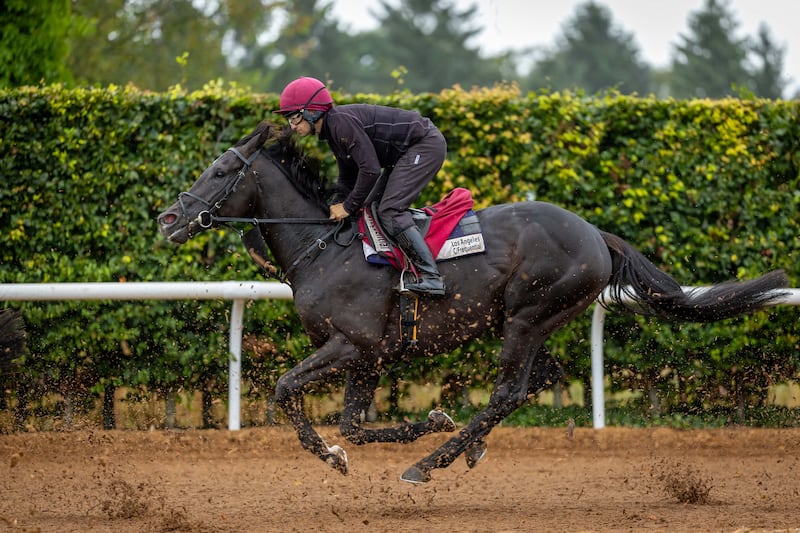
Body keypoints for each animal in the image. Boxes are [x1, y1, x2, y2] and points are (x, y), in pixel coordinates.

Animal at [158, 119, 788, 482]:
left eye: (221, 169)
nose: (168, 218)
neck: (324, 248)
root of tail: (595, 235)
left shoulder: (350, 344)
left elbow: (288, 389)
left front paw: (335, 455)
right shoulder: (370, 357)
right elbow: (356, 425)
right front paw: (425, 421)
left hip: (529, 315)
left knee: (508, 391)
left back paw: (427, 465)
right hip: (527, 320)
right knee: (536, 381)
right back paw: (464, 448)